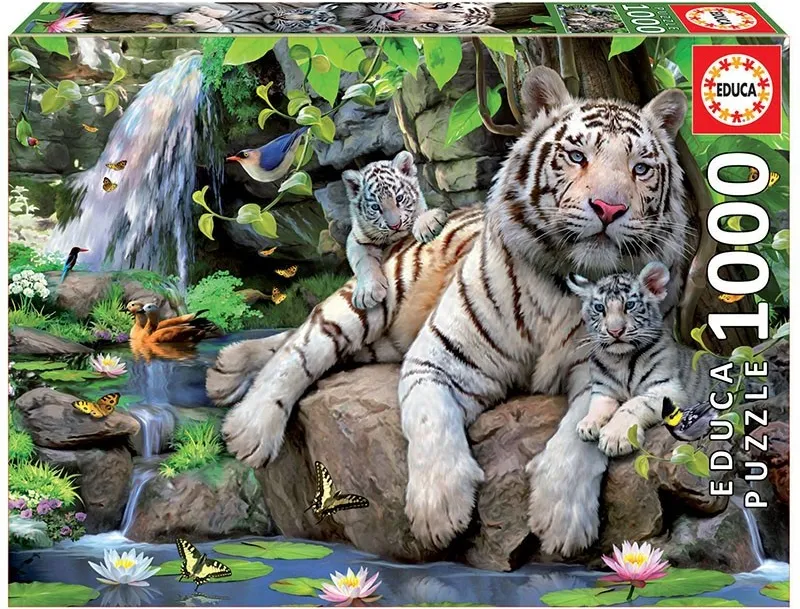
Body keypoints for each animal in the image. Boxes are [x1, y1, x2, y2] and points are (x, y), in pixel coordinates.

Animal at [343, 151, 448, 310]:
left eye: (399, 198)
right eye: (375, 207)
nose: (395, 226)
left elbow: (420, 214)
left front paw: (427, 224)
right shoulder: (356, 239)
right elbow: (363, 261)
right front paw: (368, 292)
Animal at [566, 261, 711, 455]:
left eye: (629, 305)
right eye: (599, 308)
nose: (615, 331)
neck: (620, 359)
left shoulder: (668, 388)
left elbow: (633, 404)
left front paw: (615, 437)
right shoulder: (603, 389)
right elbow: (597, 403)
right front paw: (588, 423)